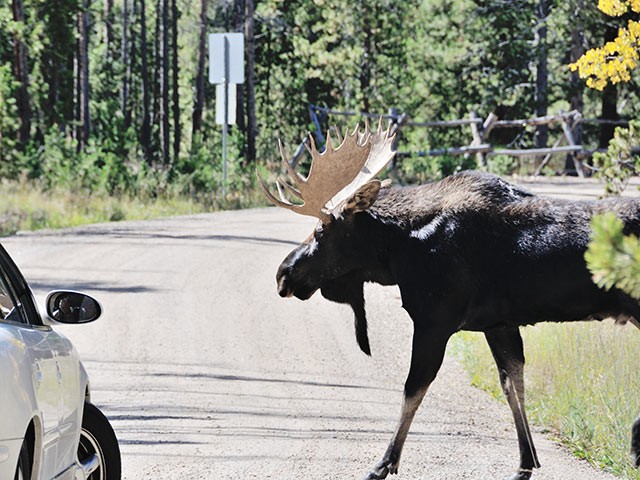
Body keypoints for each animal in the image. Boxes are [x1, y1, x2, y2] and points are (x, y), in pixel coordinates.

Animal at [256, 122, 640, 478]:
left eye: (321, 231)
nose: (283, 274)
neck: (398, 252)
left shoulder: (434, 320)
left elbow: (412, 389)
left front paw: (384, 463)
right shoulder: (498, 324)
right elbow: (512, 385)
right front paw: (526, 462)